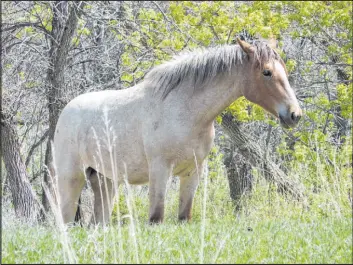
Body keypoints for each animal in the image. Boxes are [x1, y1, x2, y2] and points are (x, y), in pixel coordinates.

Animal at [53, 38, 302, 224]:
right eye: (267, 72)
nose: (294, 114)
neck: (185, 111)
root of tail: (67, 110)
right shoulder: (160, 171)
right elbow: (156, 218)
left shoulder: (193, 172)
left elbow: (184, 217)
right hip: (71, 179)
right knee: (65, 221)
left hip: (106, 182)